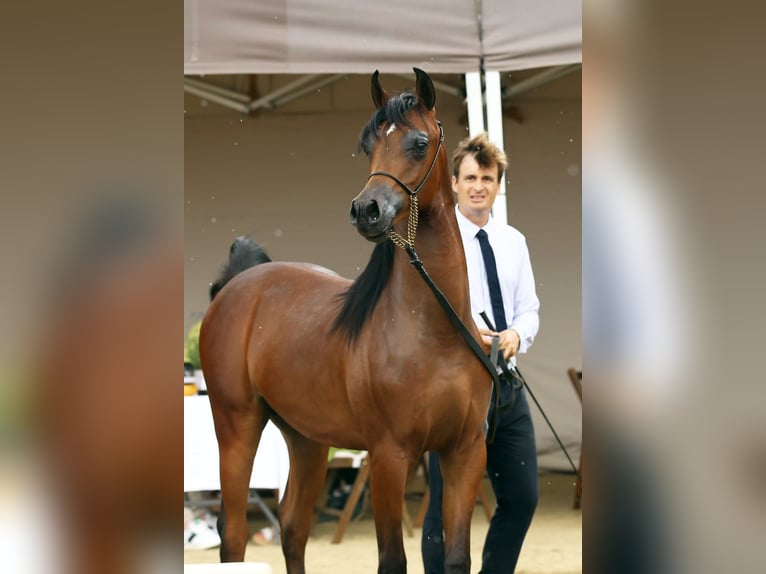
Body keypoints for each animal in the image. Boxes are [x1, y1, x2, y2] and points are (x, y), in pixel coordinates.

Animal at [201, 71, 492, 574]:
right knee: (233, 534)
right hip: (236, 427)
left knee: (293, 527)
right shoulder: (389, 456)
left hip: (305, 439)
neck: (433, 333)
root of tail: (239, 283)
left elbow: (456, 558)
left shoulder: (465, 451)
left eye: (419, 143)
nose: (366, 210)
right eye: (368, 144)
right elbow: (392, 559)